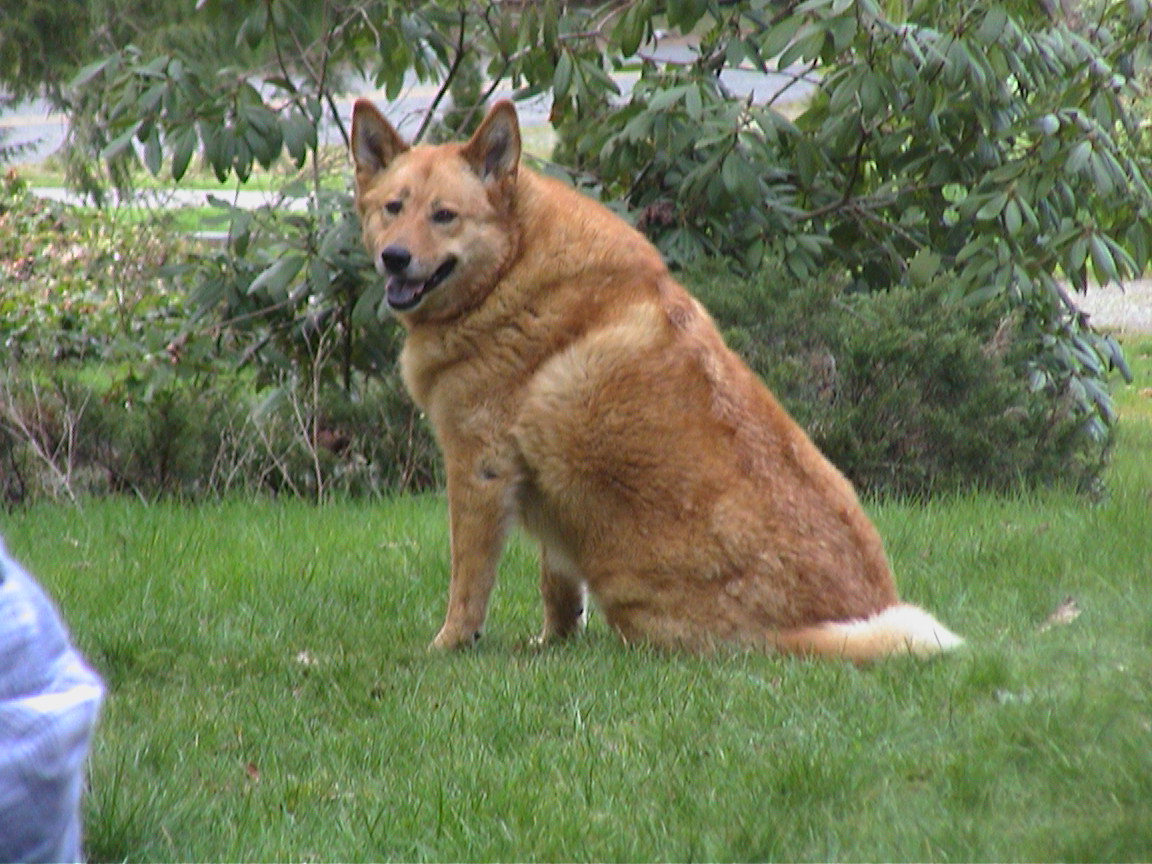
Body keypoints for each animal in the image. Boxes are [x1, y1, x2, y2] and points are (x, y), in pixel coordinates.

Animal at [350, 98, 963, 660]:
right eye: (393, 207)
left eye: (445, 215)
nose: (394, 257)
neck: (511, 270)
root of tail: (829, 625)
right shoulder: (547, 493)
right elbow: (556, 585)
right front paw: (554, 642)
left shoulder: (478, 469)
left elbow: (469, 580)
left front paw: (449, 645)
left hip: (629, 595)